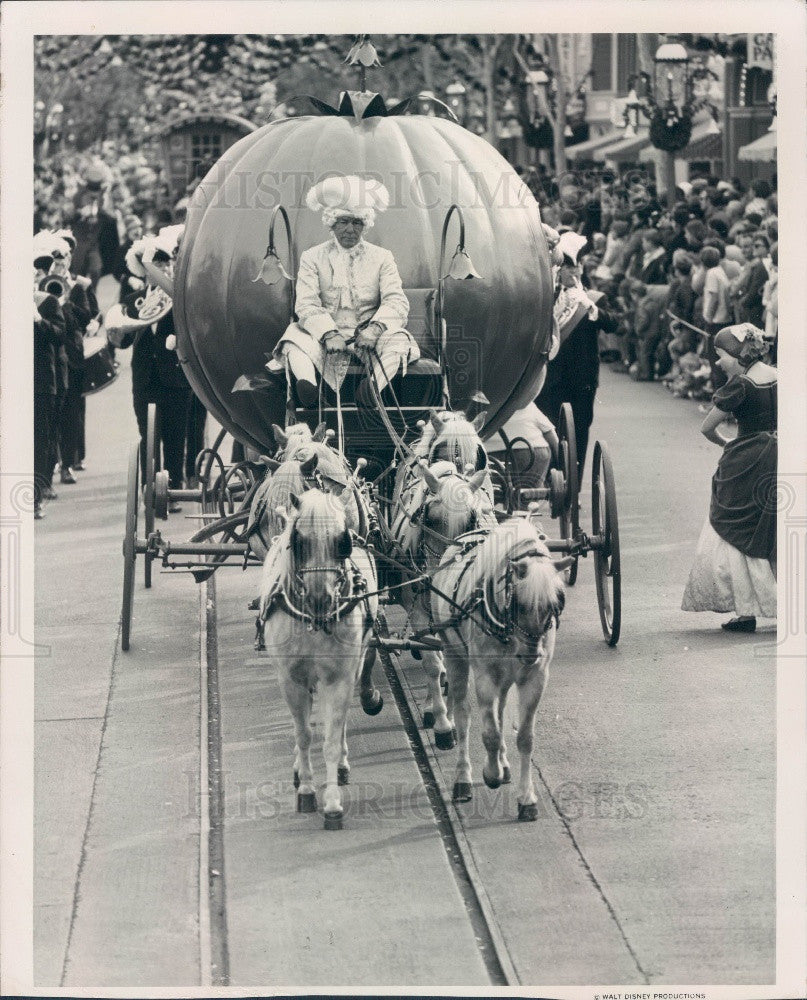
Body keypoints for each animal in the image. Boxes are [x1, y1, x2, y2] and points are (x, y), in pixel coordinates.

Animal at [258, 484, 378, 828]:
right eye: (299, 541)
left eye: (342, 541)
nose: (320, 598)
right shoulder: (291, 679)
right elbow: (303, 734)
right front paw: (307, 790)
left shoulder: (340, 677)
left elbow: (330, 739)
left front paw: (333, 803)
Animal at [432, 516, 572, 820]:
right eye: (518, 602)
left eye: (555, 602)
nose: (531, 654)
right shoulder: (485, 676)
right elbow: (490, 734)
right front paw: (491, 773)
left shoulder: (534, 678)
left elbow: (525, 738)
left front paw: (527, 799)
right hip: (454, 655)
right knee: (463, 714)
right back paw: (463, 777)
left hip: (507, 677)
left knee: (500, 708)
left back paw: (504, 764)